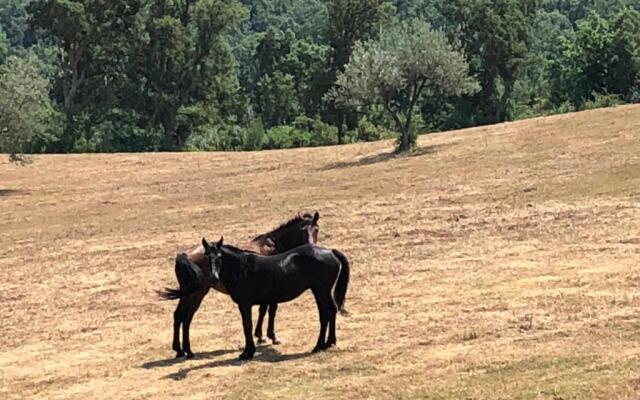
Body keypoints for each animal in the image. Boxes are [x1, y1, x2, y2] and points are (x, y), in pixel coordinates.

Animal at [159, 212, 318, 360]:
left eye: (316, 229)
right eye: (303, 230)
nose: (312, 245)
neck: (273, 247)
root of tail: (184, 255)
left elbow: (263, 310)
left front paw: (260, 335)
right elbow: (269, 311)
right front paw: (270, 336)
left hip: (189, 294)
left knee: (180, 316)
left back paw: (182, 351)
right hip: (196, 294)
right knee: (185, 317)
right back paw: (185, 350)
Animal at [202, 238, 350, 360]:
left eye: (220, 257)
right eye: (206, 257)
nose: (214, 278)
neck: (242, 268)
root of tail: (330, 252)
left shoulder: (245, 304)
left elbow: (247, 325)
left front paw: (247, 353)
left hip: (320, 290)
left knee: (325, 315)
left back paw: (318, 346)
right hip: (324, 291)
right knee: (332, 311)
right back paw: (330, 342)